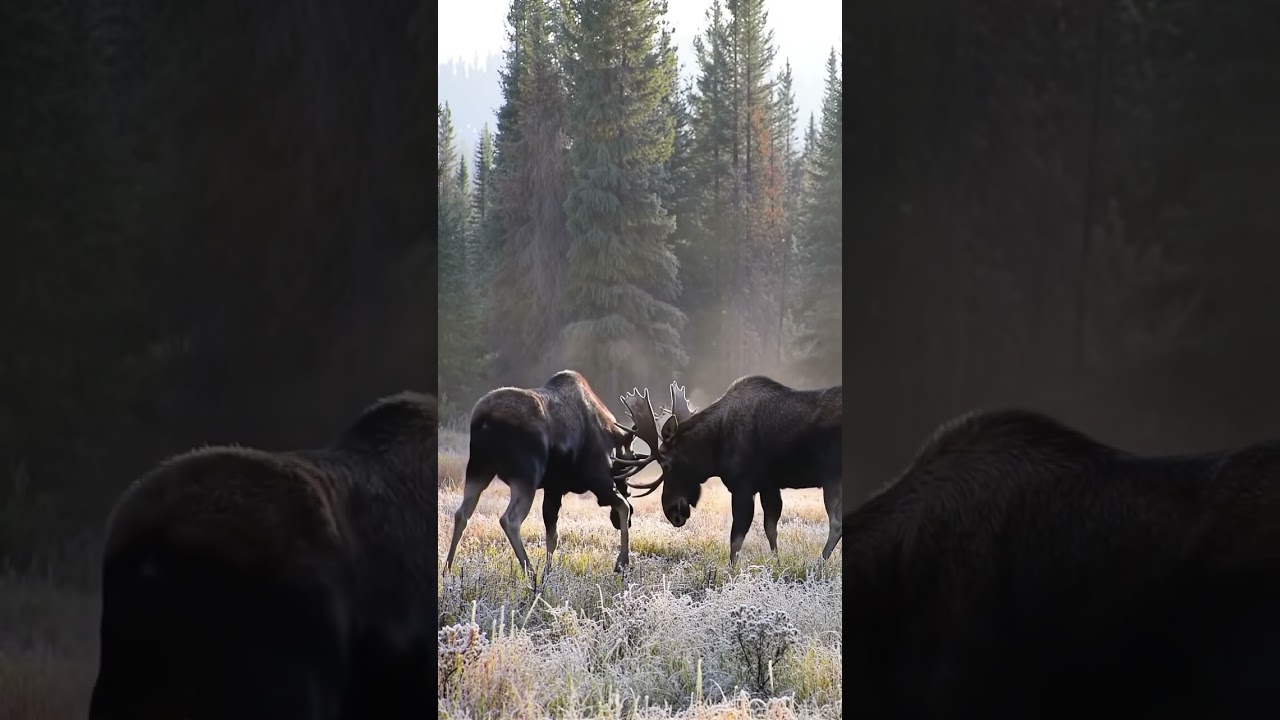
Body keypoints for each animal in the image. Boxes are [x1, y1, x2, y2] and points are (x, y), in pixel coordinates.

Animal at [444, 370, 646, 576]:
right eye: (627, 469)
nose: (628, 491)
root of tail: (484, 421)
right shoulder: (598, 478)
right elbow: (623, 506)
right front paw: (622, 563)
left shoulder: (554, 487)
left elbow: (552, 536)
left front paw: (547, 574)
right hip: (526, 477)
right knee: (510, 520)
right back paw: (530, 573)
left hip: (478, 469)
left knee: (461, 514)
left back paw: (447, 570)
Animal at [621, 376, 843, 566]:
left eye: (666, 464)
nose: (671, 511)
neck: (713, 449)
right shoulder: (769, 485)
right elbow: (770, 529)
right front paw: (777, 565)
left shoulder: (742, 486)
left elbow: (736, 538)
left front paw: (730, 572)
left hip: (832, 477)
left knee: (836, 524)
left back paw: (818, 565)